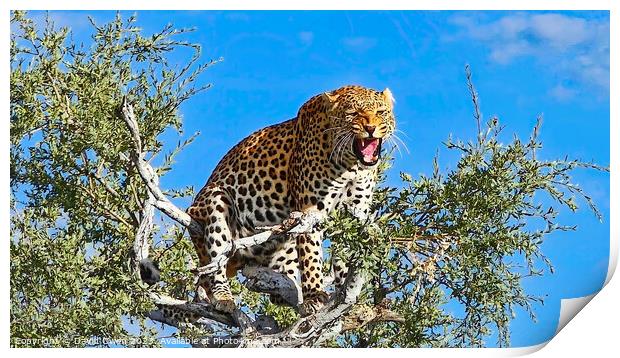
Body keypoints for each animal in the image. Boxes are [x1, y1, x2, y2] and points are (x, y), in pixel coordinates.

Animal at [185, 86, 398, 316]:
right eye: (353, 113)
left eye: (380, 112)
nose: (370, 128)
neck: (352, 166)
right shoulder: (310, 212)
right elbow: (311, 257)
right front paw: (314, 296)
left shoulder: (353, 215)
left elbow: (346, 256)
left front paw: (349, 299)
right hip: (215, 200)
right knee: (215, 264)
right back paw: (224, 297)